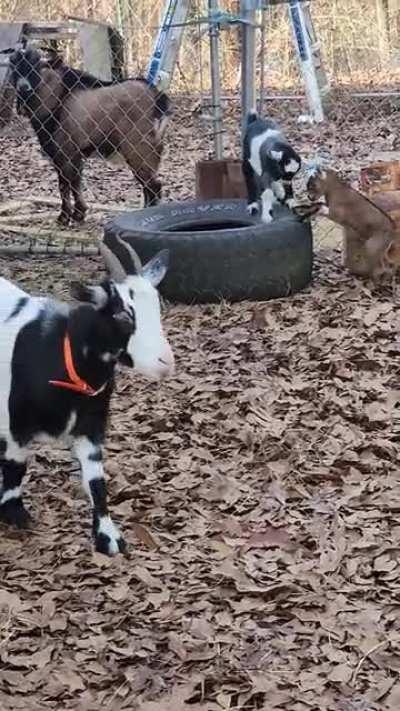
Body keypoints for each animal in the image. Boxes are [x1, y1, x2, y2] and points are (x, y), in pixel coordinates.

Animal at [0, 237, 174, 556]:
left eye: (157, 309)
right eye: (123, 315)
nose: (165, 362)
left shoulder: (90, 426)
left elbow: (96, 482)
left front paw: (108, 538)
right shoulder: (17, 425)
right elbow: (16, 468)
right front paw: (14, 514)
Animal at [8, 46, 171, 225]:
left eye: (36, 67)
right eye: (14, 67)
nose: (23, 87)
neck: (59, 97)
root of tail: (157, 98)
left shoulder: (65, 152)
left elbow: (65, 184)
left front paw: (65, 217)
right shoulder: (73, 155)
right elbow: (75, 183)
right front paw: (79, 213)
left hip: (139, 149)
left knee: (153, 185)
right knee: (148, 186)